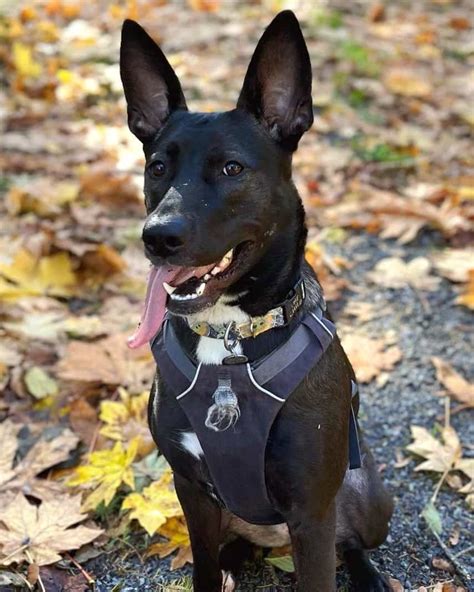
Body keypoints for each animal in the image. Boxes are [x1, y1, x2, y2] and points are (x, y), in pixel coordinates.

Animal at [121, 10, 392, 592]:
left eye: (232, 168)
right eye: (157, 167)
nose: (157, 236)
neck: (229, 337)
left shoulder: (312, 512)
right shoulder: (190, 489)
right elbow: (202, 566)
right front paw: (214, 572)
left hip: (369, 494)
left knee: (354, 542)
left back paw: (369, 575)